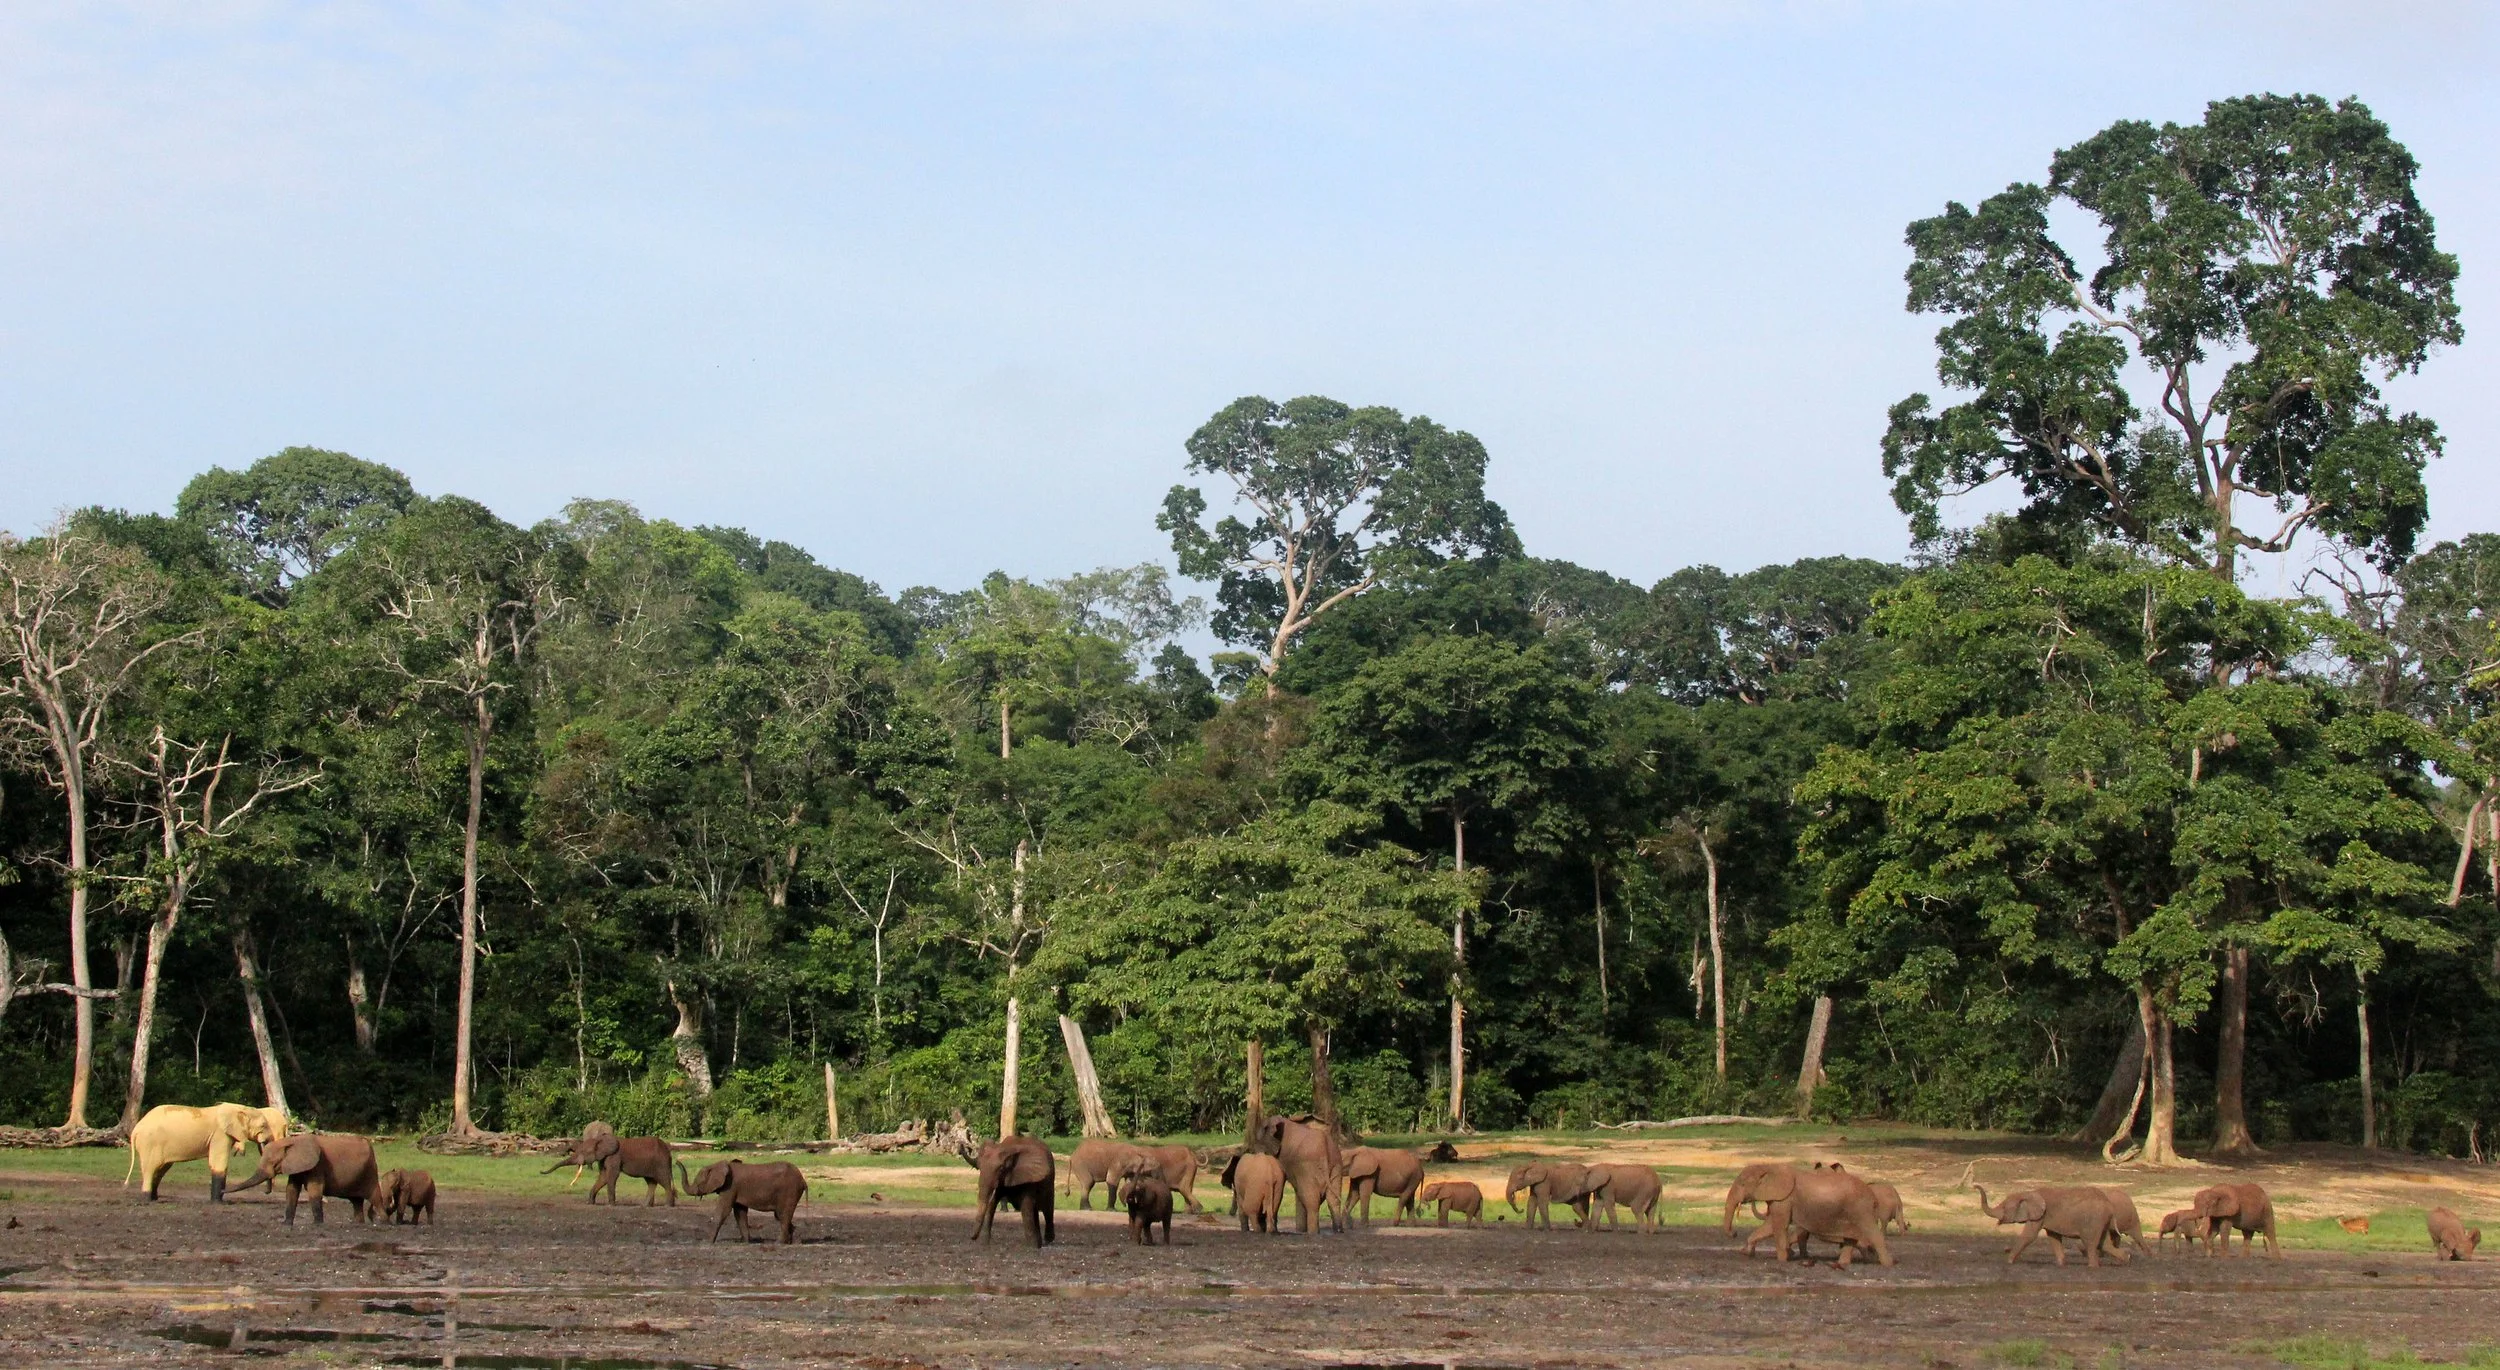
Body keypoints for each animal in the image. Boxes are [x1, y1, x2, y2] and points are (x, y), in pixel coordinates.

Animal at [124, 1103, 290, 1203]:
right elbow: (219, 1162)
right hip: (150, 1143)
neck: (237, 1108)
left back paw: (154, 1198)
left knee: (160, 1170)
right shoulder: (220, 1134)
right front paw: (218, 1203)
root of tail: (135, 1130)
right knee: (150, 1169)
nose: (266, 1193)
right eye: (263, 1125)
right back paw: (146, 1200)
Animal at [238, 1132, 380, 1227]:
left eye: (274, 1163)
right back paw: (358, 1224)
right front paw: (286, 1224)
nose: (266, 1191)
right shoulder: (296, 1165)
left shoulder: (318, 1165)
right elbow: (291, 1190)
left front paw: (317, 1225)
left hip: (371, 1171)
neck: (291, 1141)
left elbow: (314, 1191)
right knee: (357, 1202)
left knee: (376, 1200)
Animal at [1723, 1163, 1892, 1267]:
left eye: (1742, 1184)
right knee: (1851, 1239)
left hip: (1861, 1209)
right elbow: (1770, 1226)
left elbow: (1779, 1225)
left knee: (1873, 1234)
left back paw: (1888, 1264)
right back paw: (1843, 1264)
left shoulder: (1784, 1199)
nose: (1734, 1233)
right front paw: (1747, 1252)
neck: (1768, 1167)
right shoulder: (1780, 1200)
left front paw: (1782, 1260)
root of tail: (1872, 1195)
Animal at [1977, 1185, 2116, 1267]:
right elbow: (2054, 1238)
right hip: (2101, 1220)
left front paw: (2008, 1261)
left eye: (2005, 1208)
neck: (2028, 1193)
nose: (1974, 1185)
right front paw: (2061, 1264)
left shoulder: (2040, 1215)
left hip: (2093, 1220)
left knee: (2090, 1243)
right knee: (2105, 1244)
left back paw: (2092, 1266)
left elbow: (2029, 1236)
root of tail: (2109, 1205)